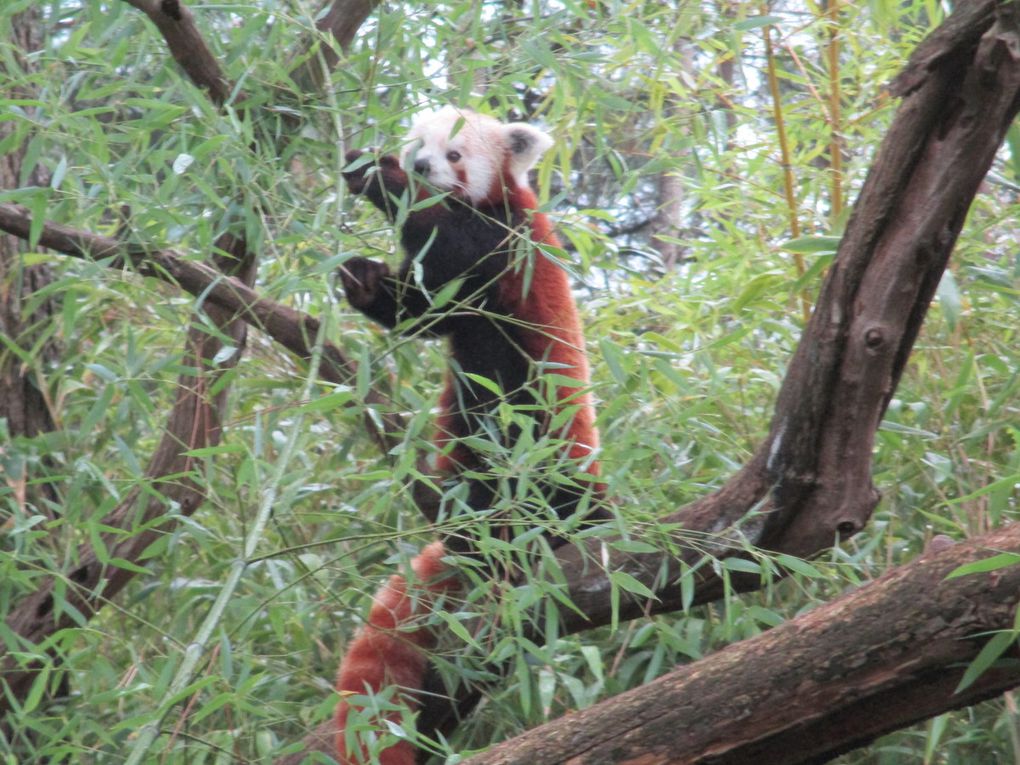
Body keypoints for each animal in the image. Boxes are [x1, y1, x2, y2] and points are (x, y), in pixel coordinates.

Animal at [334, 108, 607, 765]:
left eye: (454, 154)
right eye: (420, 144)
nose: (419, 164)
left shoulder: (507, 245)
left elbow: (446, 239)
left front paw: (380, 177)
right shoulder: (461, 303)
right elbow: (428, 309)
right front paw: (363, 278)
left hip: (552, 446)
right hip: (468, 445)